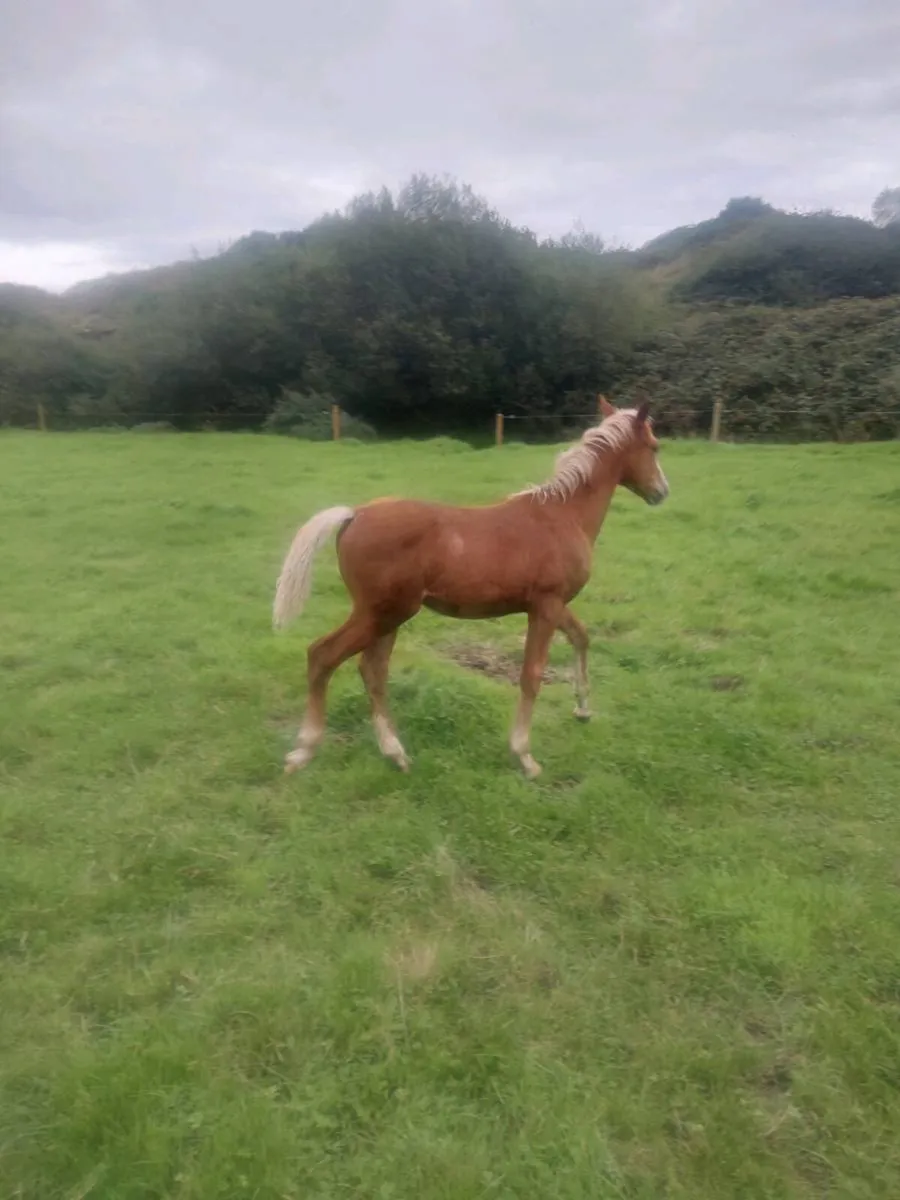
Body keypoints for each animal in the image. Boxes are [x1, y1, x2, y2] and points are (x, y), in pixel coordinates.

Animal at [272, 397, 669, 779]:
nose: (661, 492)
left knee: (372, 670)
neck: (562, 515)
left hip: (387, 617)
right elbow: (532, 675)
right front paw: (525, 757)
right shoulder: (546, 606)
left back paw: (395, 754)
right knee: (323, 656)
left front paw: (583, 709)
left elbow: (581, 637)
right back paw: (303, 752)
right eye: (654, 446)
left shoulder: (554, 604)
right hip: (381, 614)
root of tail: (355, 514)